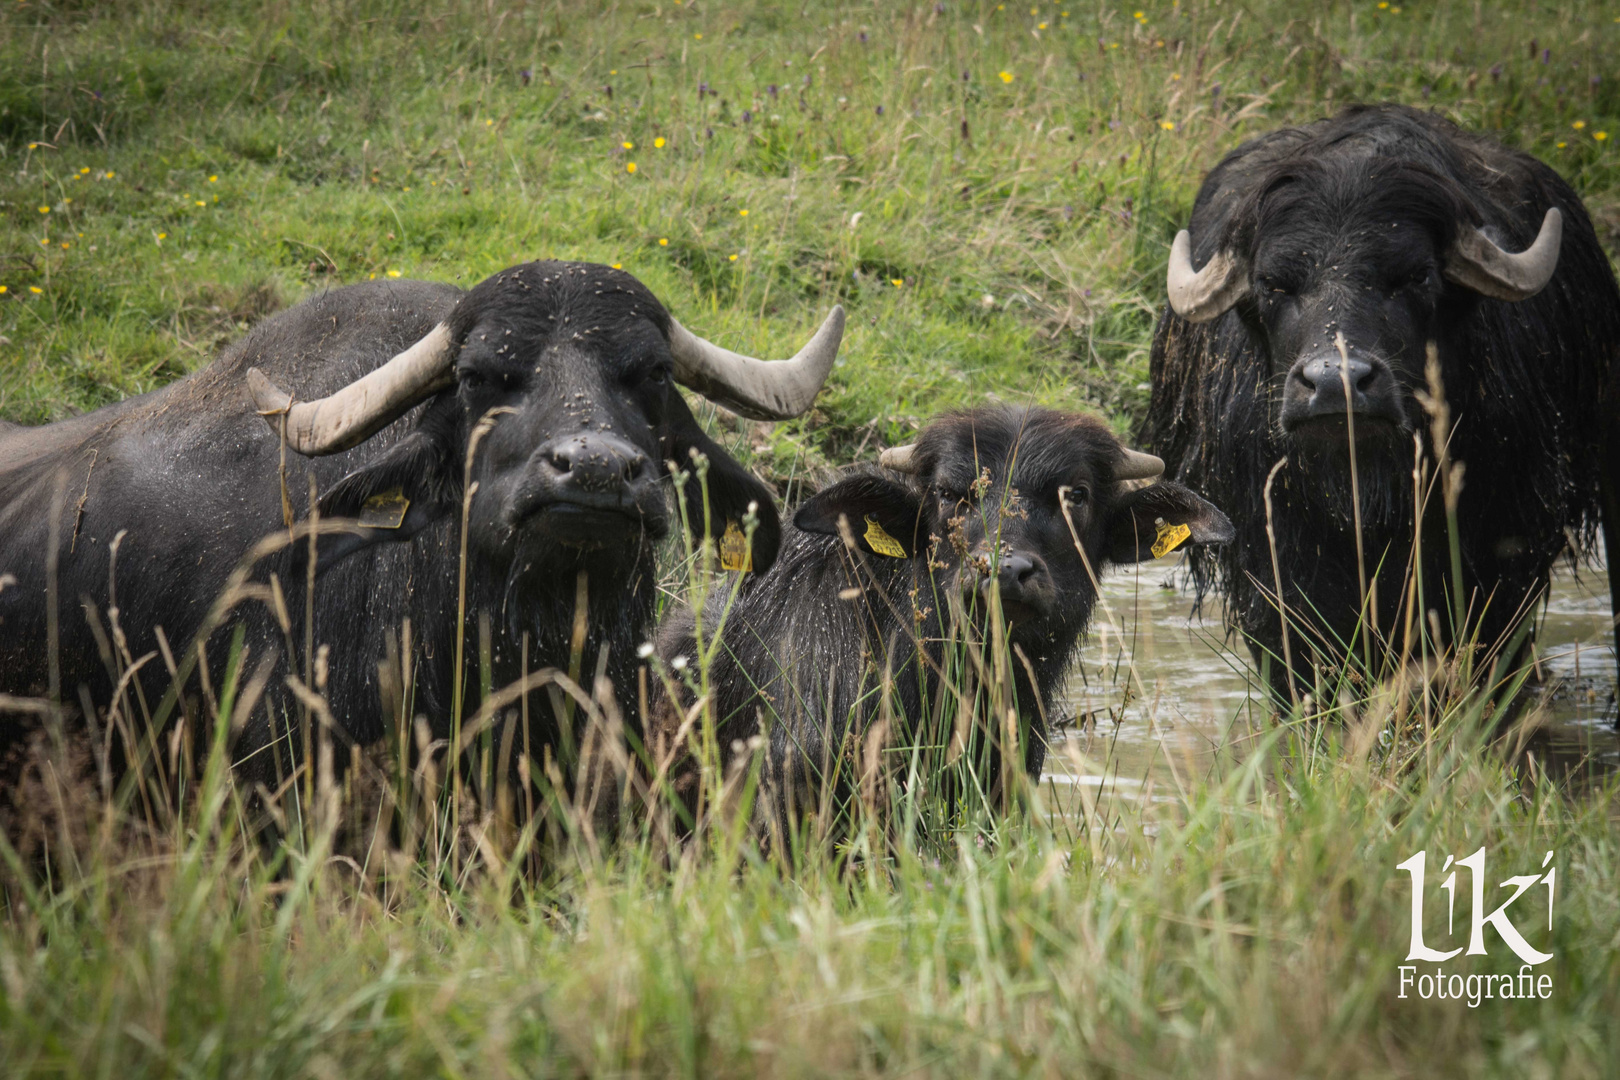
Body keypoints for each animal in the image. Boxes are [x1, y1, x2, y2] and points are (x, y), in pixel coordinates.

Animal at [1140, 107, 1620, 702]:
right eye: (1273, 283)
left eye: (1416, 276)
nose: (1335, 383)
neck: (1362, 494)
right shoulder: (1268, 560)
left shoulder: (1502, 555)